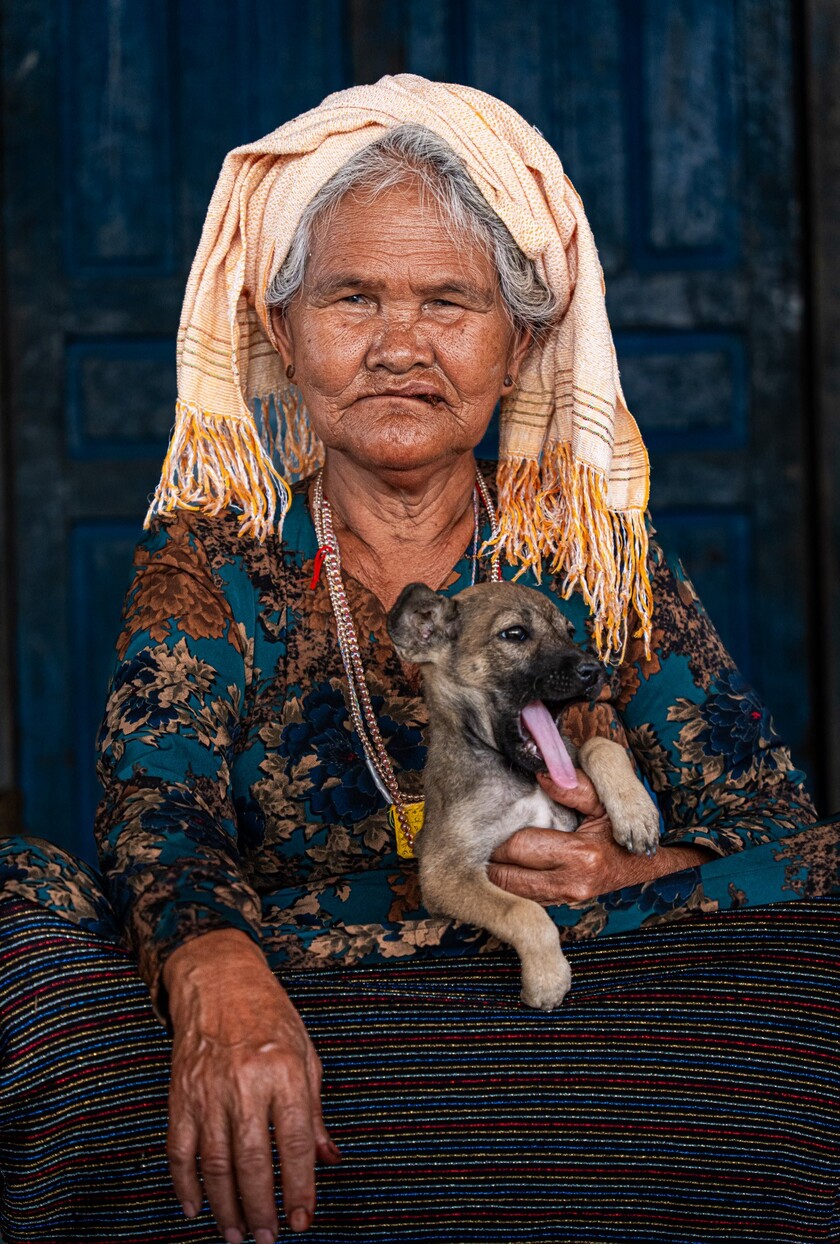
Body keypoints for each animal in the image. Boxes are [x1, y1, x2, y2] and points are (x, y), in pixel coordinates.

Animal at [388, 577, 662, 1005]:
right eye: (514, 634)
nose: (595, 670)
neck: (524, 776)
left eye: (569, 632)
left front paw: (637, 815)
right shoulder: (445, 874)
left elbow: (600, 745)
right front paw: (547, 978)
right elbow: (522, 911)